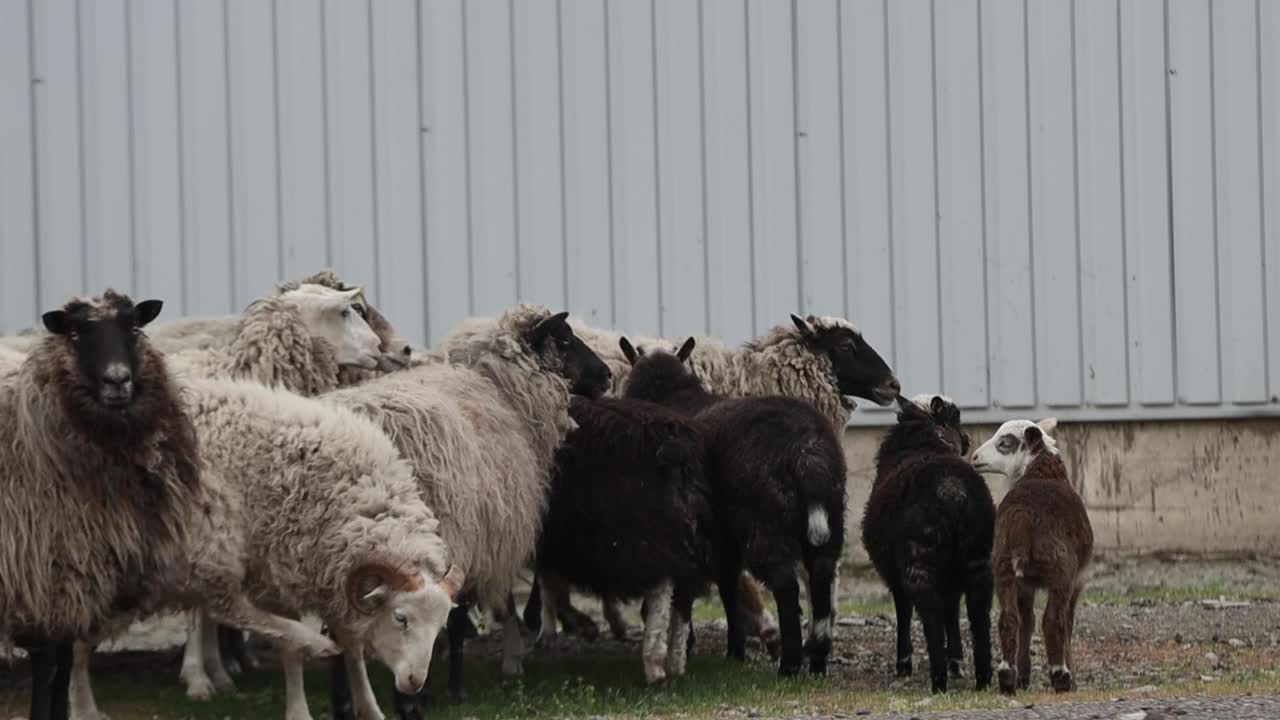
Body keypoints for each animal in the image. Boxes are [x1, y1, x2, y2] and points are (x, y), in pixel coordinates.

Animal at [0, 289, 200, 717]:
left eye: (134, 328)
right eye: (76, 334)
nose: (118, 379)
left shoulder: (74, 585)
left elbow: (61, 667)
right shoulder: (46, 579)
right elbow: (47, 666)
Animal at [616, 335, 855, 671]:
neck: (671, 393)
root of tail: (809, 455)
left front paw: (710, 647)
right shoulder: (723, 537)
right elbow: (728, 588)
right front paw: (734, 650)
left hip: (763, 523)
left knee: (786, 585)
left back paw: (790, 666)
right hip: (831, 517)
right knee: (821, 576)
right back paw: (818, 661)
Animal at [860, 392, 998, 691]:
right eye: (955, 417)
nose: (967, 440)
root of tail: (953, 492)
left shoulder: (894, 573)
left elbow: (904, 612)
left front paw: (904, 664)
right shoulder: (952, 578)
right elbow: (952, 612)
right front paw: (956, 661)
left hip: (919, 559)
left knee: (931, 619)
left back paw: (938, 681)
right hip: (978, 557)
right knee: (979, 616)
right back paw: (983, 678)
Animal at [972, 417, 1095, 691]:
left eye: (1004, 443)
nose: (974, 457)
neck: (1037, 467)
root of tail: (1023, 518)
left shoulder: (1025, 584)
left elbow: (1026, 620)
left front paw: (1024, 676)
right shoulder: (1078, 580)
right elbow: (1068, 622)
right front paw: (1072, 677)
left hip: (1003, 564)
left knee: (1010, 618)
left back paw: (1008, 677)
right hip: (1061, 568)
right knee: (1053, 620)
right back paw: (1061, 676)